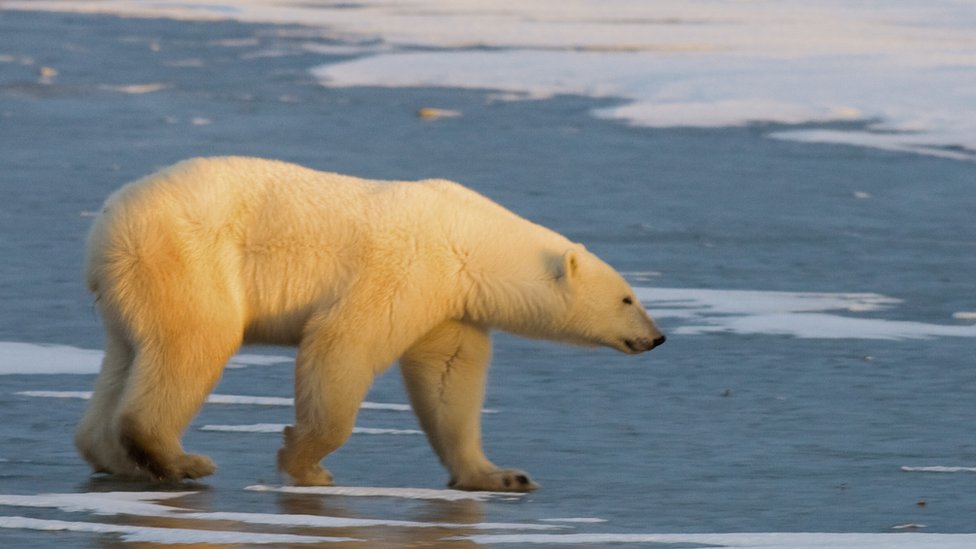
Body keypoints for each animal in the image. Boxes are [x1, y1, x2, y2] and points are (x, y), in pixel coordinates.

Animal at [76, 156, 664, 490]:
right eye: (628, 298)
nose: (656, 338)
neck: (469, 241)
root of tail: (106, 225)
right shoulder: (407, 267)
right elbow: (343, 344)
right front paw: (306, 462)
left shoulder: (449, 304)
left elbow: (450, 379)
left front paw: (501, 475)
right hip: (188, 257)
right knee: (197, 341)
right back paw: (181, 461)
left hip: (132, 285)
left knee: (127, 356)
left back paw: (114, 457)